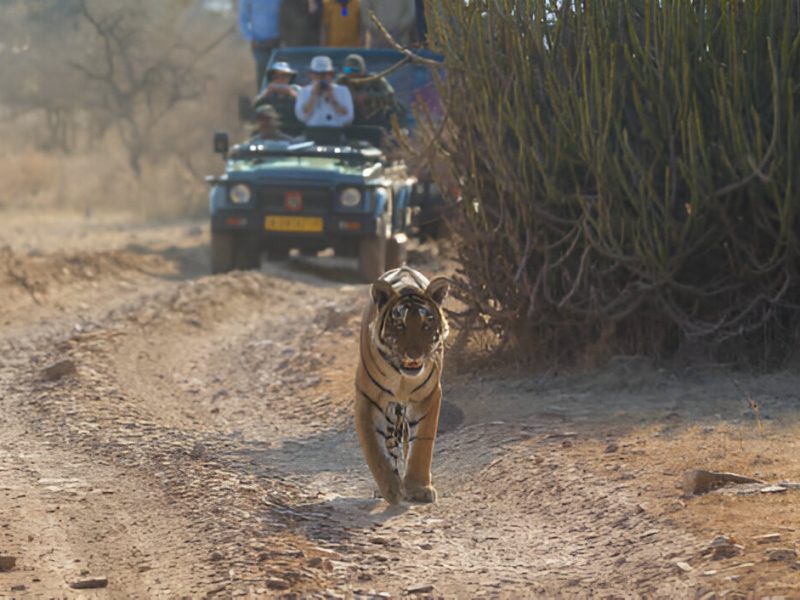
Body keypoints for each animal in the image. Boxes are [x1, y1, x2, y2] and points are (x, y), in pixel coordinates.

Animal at [354, 266, 450, 504]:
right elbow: (375, 450)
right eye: (400, 325)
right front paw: (390, 489)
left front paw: (418, 488)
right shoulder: (367, 399)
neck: (403, 379)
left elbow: (422, 445)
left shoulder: (428, 396)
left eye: (426, 324)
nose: (414, 355)